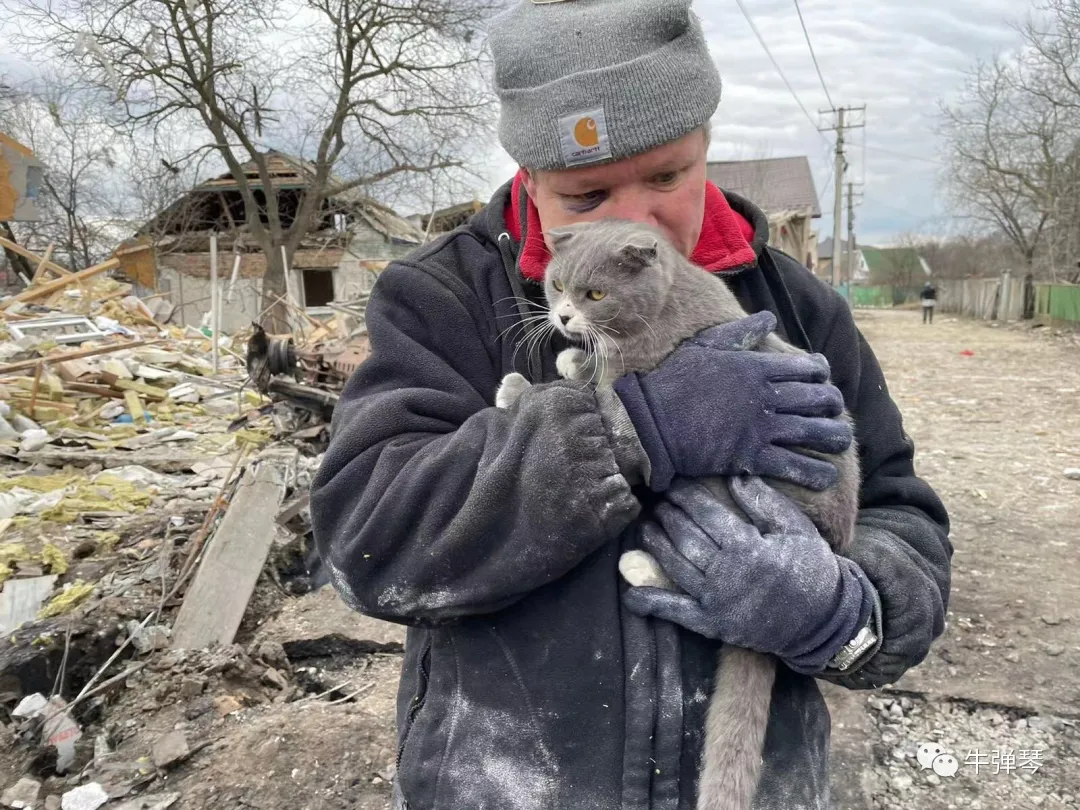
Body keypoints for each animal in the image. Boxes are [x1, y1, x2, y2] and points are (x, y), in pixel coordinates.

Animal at [496, 219, 859, 810]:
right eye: (557, 285)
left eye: (596, 293)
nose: (564, 318)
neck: (660, 309)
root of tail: (829, 543)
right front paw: (572, 360)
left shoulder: (642, 365)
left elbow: (604, 397)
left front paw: (520, 389)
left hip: (733, 485)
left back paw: (643, 567)